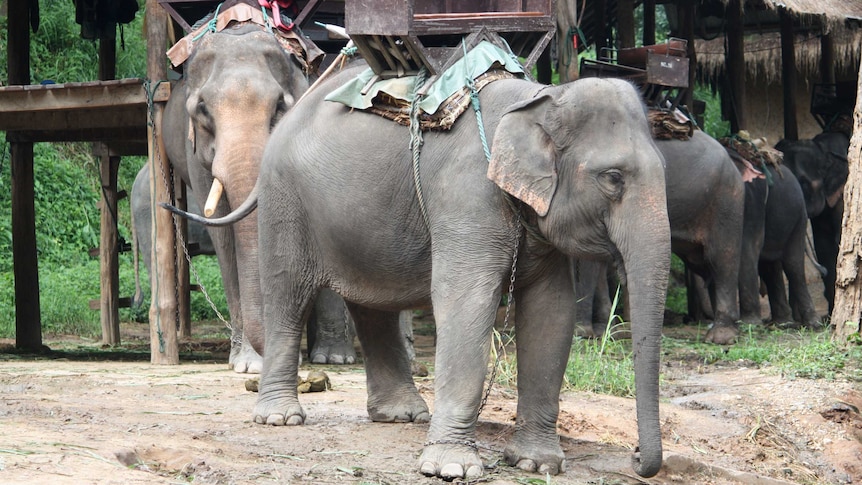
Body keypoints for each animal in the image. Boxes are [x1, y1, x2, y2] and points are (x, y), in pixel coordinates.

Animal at [172, 64, 676, 476]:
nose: (636, 459)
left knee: (370, 304)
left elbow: (551, 313)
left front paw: (537, 464)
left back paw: (399, 415)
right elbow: (465, 301)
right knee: (288, 294)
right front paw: (451, 468)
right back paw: (280, 417)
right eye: (613, 179)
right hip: (285, 199)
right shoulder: (467, 194)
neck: (540, 97)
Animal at [776, 130, 852, 312]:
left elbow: (839, 240)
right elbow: (823, 246)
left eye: (803, 184)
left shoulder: (842, 197)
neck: (823, 149)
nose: (822, 272)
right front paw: (831, 312)